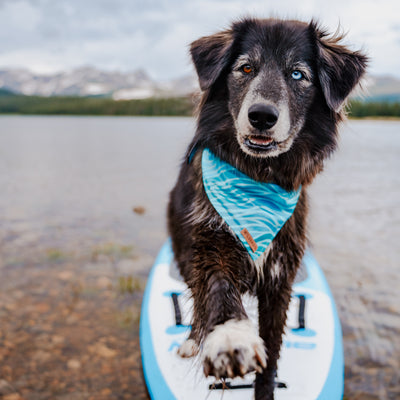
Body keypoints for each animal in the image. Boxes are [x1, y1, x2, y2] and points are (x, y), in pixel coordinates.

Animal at [167, 18, 368, 400]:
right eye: (245, 68)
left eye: (298, 74)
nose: (261, 116)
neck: (259, 176)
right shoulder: (210, 242)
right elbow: (216, 287)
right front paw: (229, 338)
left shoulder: (281, 278)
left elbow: (272, 353)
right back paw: (192, 341)